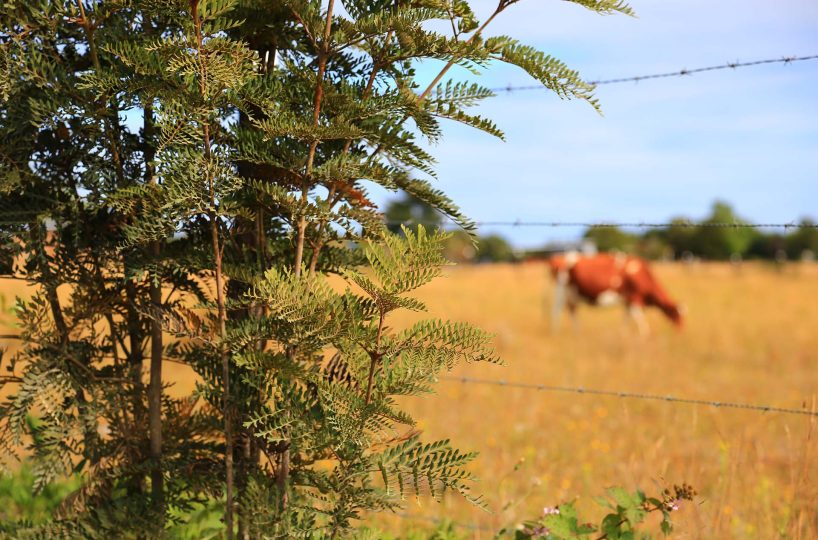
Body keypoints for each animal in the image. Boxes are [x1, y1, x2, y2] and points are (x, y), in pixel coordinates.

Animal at [548, 252, 684, 336]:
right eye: (676, 315)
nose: (681, 331)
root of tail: (560, 257)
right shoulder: (634, 298)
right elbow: (639, 318)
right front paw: (645, 335)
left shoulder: (628, 301)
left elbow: (626, 318)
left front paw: (623, 334)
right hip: (561, 291)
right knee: (556, 311)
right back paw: (556, 332)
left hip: (572, 295)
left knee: (573, 312)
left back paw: (577, 333)